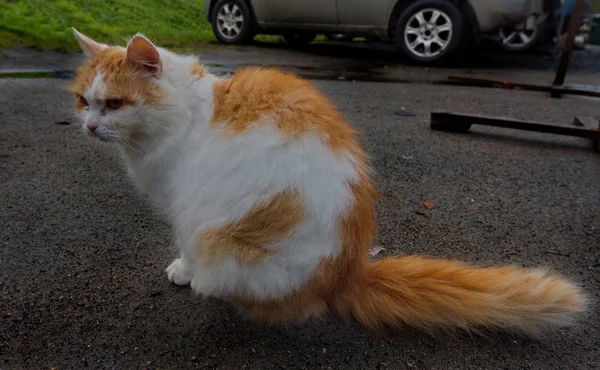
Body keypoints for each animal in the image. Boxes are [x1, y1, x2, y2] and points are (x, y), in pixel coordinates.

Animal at [69, 28, 584, 334]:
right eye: (83, 100)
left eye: (114, 104)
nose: (90, 127)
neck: (187, 110)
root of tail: (347, 272)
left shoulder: (183, 206)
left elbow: (186, 246)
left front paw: (183, 271)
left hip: (224, 235)